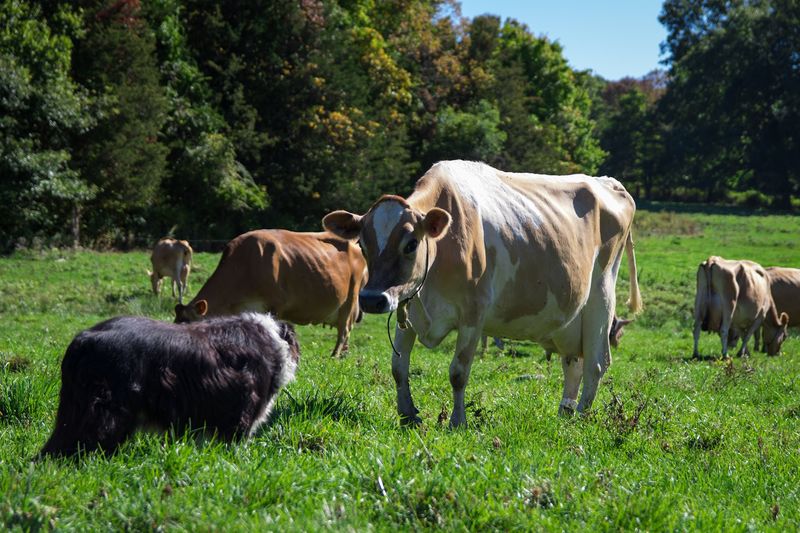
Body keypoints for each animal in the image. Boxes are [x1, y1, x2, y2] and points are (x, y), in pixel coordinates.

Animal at [323, 160, 642, 426]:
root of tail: (609, 182)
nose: (371, 299)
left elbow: (458, 372)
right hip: (570, 321)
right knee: (573, 363)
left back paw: (580, 416)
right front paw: (408, 415)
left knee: (596, 364)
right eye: (362, 244)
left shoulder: (473, 314)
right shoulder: (408, 308)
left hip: (601, 297)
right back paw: (565, 412)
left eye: (411, 244)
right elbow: (398, 367)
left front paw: (457, 422)